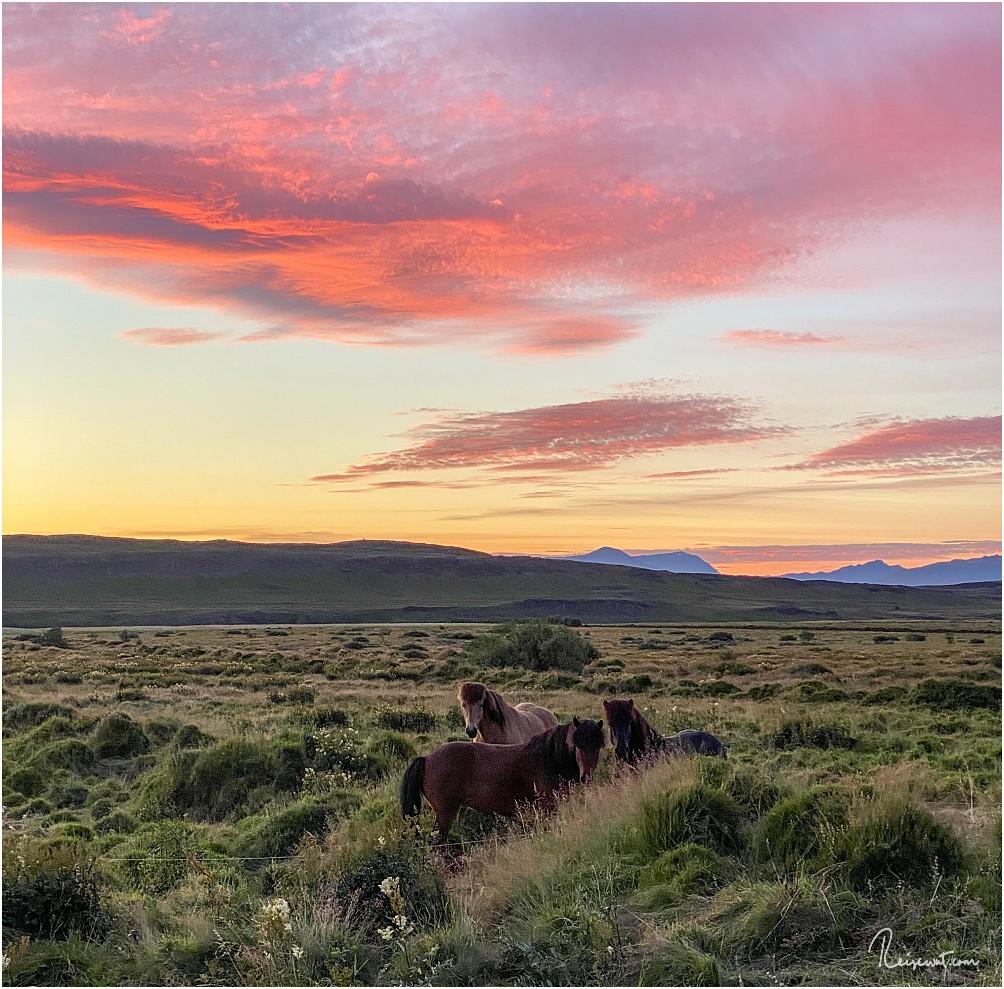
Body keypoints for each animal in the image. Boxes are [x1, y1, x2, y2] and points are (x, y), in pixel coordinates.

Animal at [399, 714, 602, 843]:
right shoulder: (546, 809)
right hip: (445, 814)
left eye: (598, 745)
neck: (549, 759)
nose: (586, 777)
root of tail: (426, 758)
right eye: (577, 744)